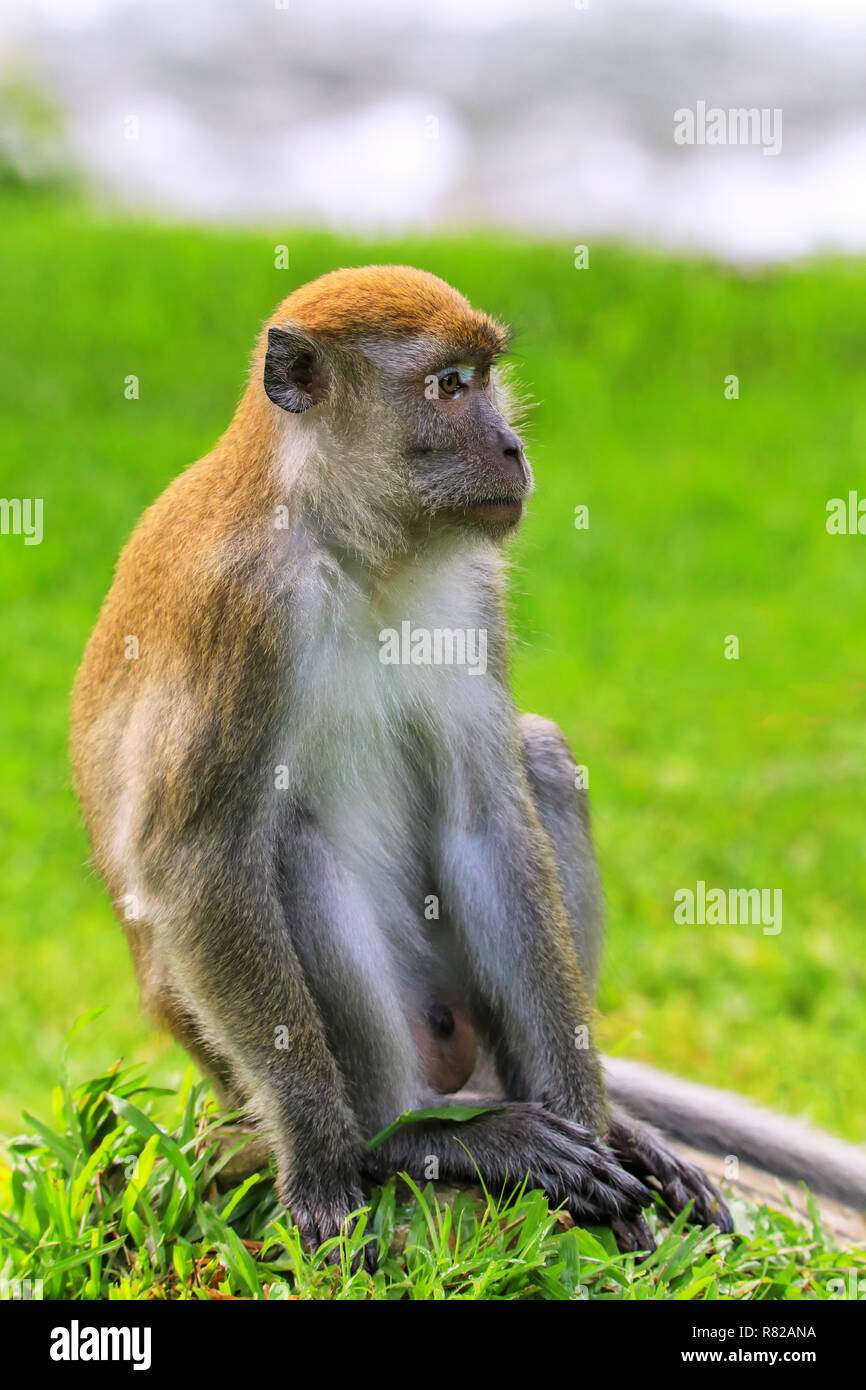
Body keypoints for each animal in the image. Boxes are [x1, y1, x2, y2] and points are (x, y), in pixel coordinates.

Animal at [71, 267, 865, 1272]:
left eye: (485, 377)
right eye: (448, 387)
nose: (513, 447)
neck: (358, 548)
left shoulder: (474, 585)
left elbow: (489, 816)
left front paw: (598, 1135)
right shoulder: (240, 607)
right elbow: (193, 860)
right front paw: (322, 1164)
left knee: (542, 759)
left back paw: (592, 1121)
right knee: (287, 845)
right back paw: (409, 1133)